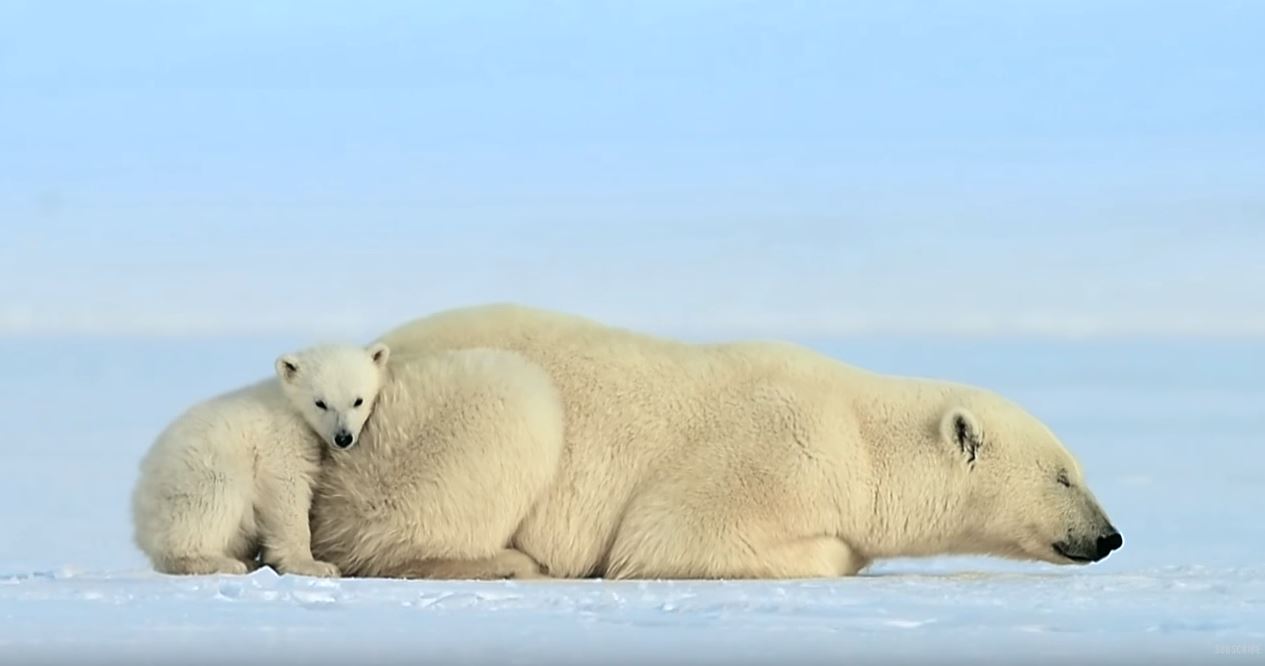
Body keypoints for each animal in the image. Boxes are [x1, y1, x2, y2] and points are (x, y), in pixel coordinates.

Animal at [131, 341, 389, 577]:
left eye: (358, 400)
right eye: (320, 403)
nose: (343, 437)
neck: (293, 407)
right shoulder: (282, 437)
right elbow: (288, 489)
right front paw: (314, 565)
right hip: (198, 475)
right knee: (213, 500)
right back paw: (223, 563)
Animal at [316, 305, 1128, 582]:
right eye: (1063, 476)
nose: (1109, 536)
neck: (860, 436)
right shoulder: (776, 450)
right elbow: (674, 535)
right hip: (403, 429)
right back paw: (512, 562)